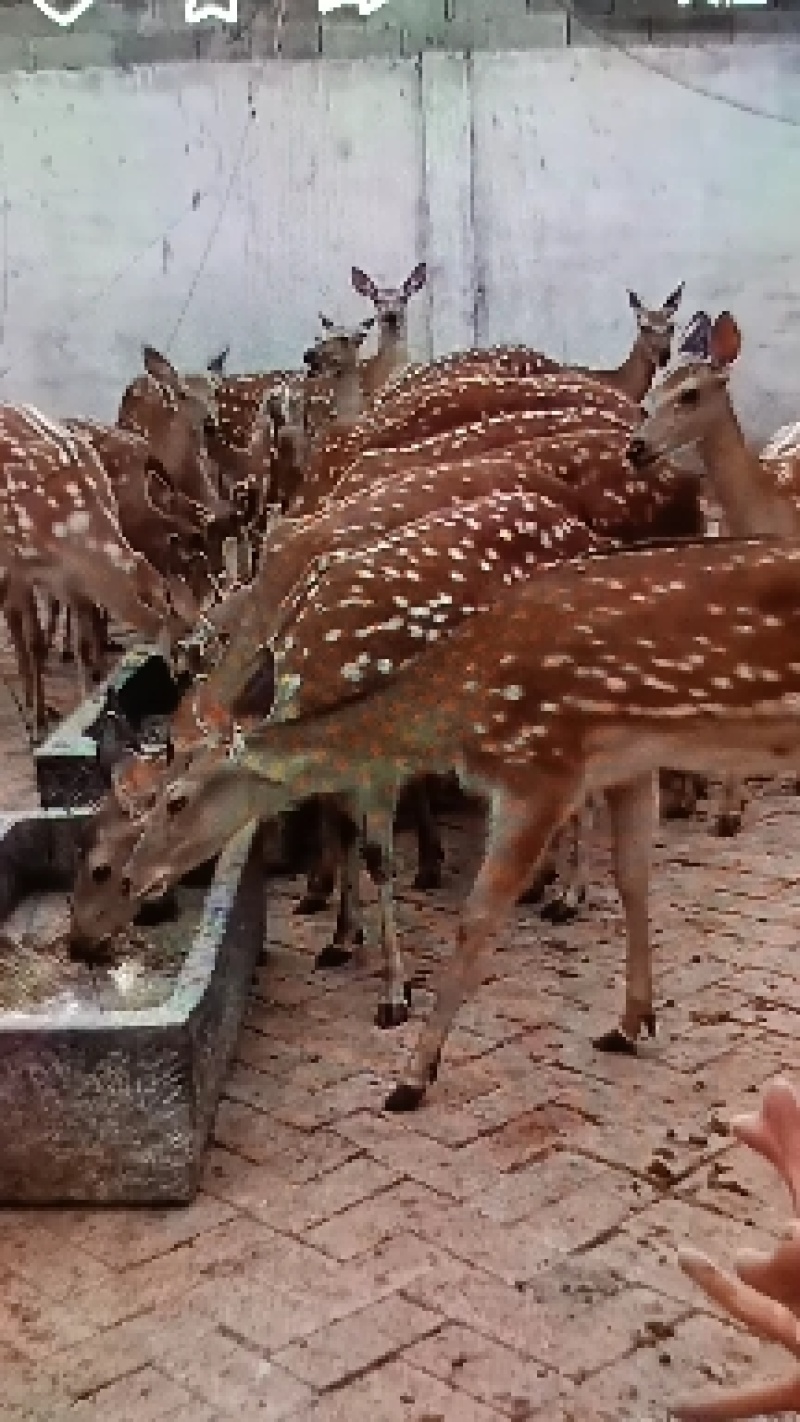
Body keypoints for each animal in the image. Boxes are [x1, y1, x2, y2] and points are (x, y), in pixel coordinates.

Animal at [112, 537, 800, 1107]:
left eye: (175, 799)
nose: (132, 878)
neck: (462, 714)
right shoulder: (629, 759)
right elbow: (634, 879)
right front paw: (631, 1023)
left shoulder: (538, 769)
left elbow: (475, 922)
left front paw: (411, 1076)